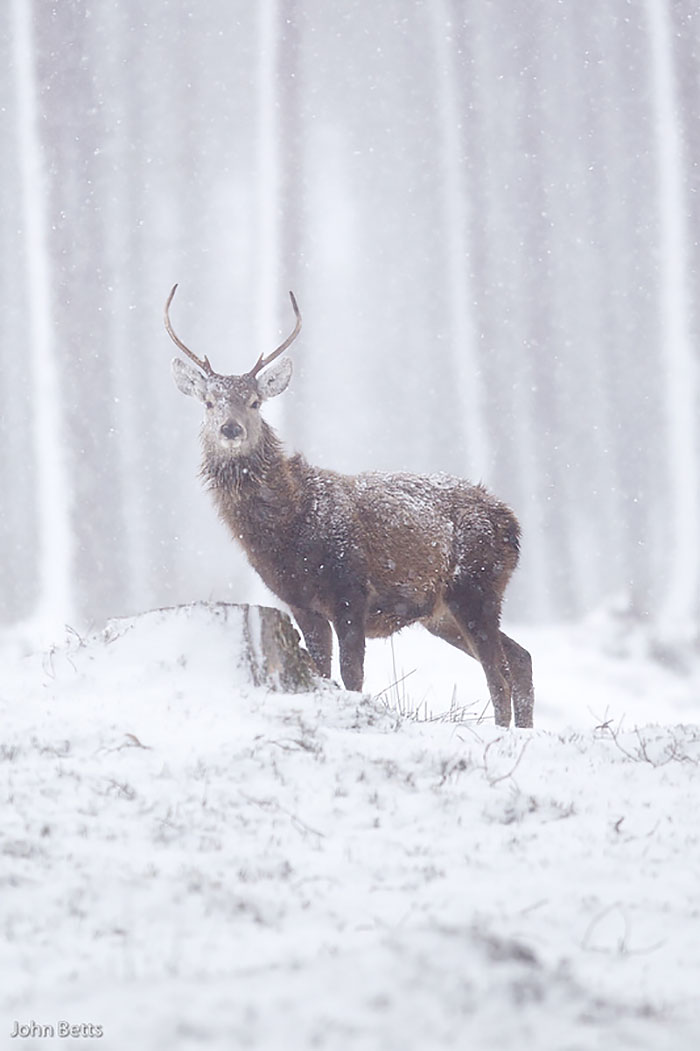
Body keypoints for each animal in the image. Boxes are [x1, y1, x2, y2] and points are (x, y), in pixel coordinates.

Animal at [166, 286, 534, 727]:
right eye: (209, 402)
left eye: (255, 402)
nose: (231, 428)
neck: (291, 529)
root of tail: (512, 523)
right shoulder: (299, 602)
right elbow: (322, 672)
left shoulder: (352, 588)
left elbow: (352, 674)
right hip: (443, 612)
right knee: (520, 657)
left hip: (477, 586)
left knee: (498, 673)